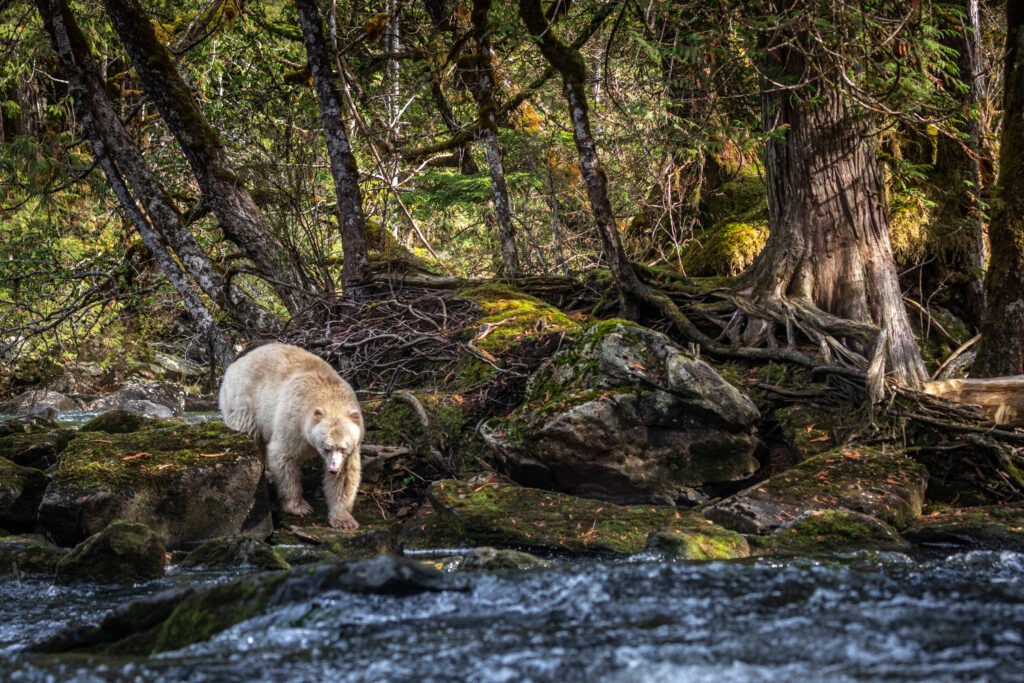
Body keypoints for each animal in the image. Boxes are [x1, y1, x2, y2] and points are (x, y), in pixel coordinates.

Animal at [218, 343, 364, 530]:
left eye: (343, 448)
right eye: (326, 447)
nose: (332, 469)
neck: (328, 393)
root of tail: (235, 364)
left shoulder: (352, 443)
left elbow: (345, 476)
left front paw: (344, 520)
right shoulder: (293, 419)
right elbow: (284, 456)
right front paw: (299, 507)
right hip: (244, 401)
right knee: (253, 434)